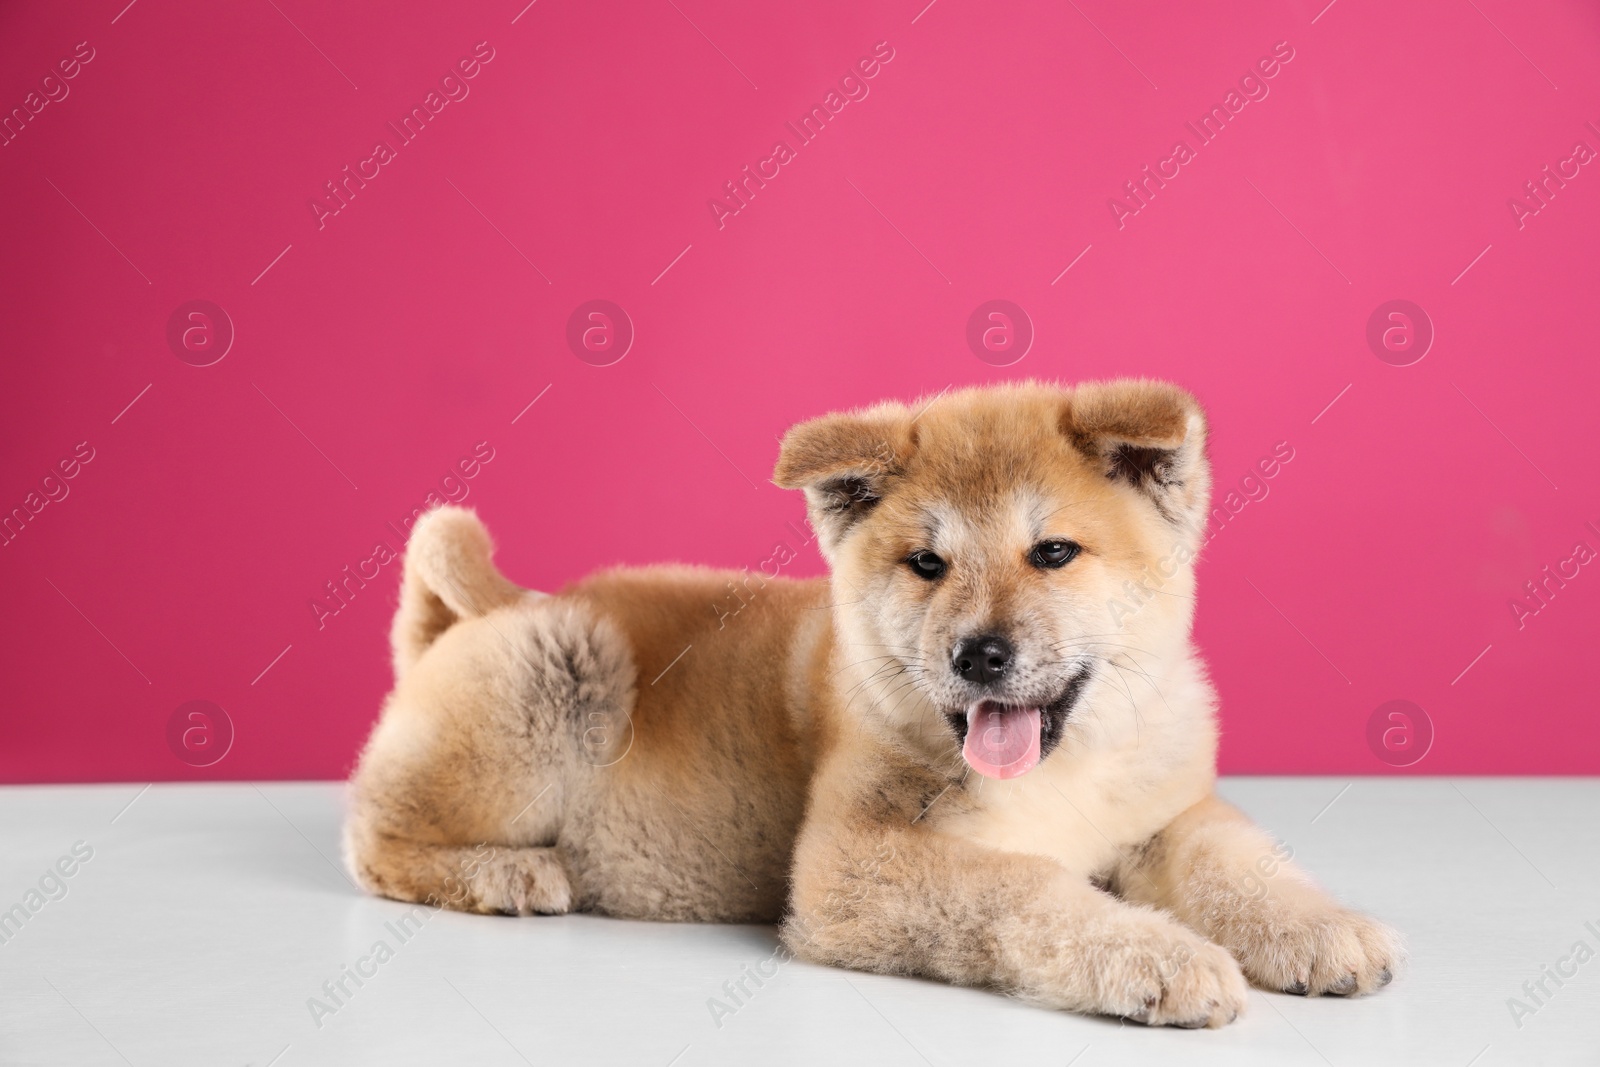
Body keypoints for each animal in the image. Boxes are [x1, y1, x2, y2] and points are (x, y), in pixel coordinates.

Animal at [344, 382, 1395, 1023]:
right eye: (927, 563)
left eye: (1053, 552)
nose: (979, 654)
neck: (1066, 770)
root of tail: (494, 605)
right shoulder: (855, 863)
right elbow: (1027, 884)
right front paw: (1161, 957)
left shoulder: (1166, 811)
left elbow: (1241, 864)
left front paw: (1320, 928)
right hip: (561, 666)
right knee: (373, 838)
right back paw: (510, 872)